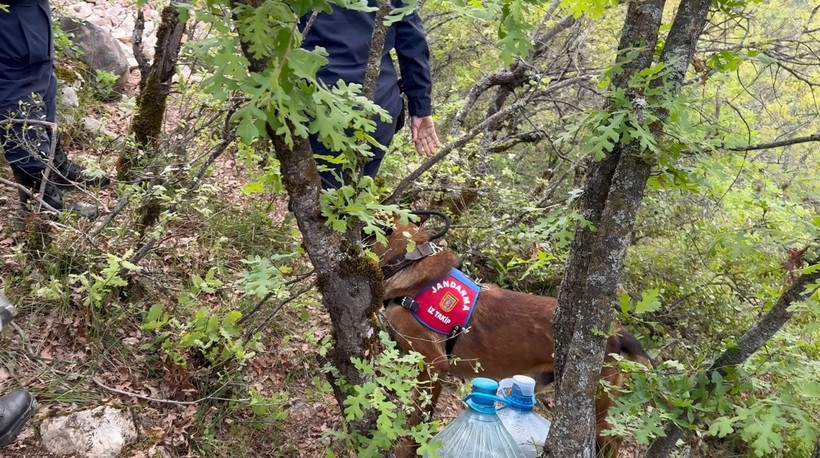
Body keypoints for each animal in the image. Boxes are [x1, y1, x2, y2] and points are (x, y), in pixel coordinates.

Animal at [374, 213, 652, 456]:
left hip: (596, 409)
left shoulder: (434, 365)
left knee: (612, 442)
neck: (411, 258)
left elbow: (417, 420)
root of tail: (617, 330)